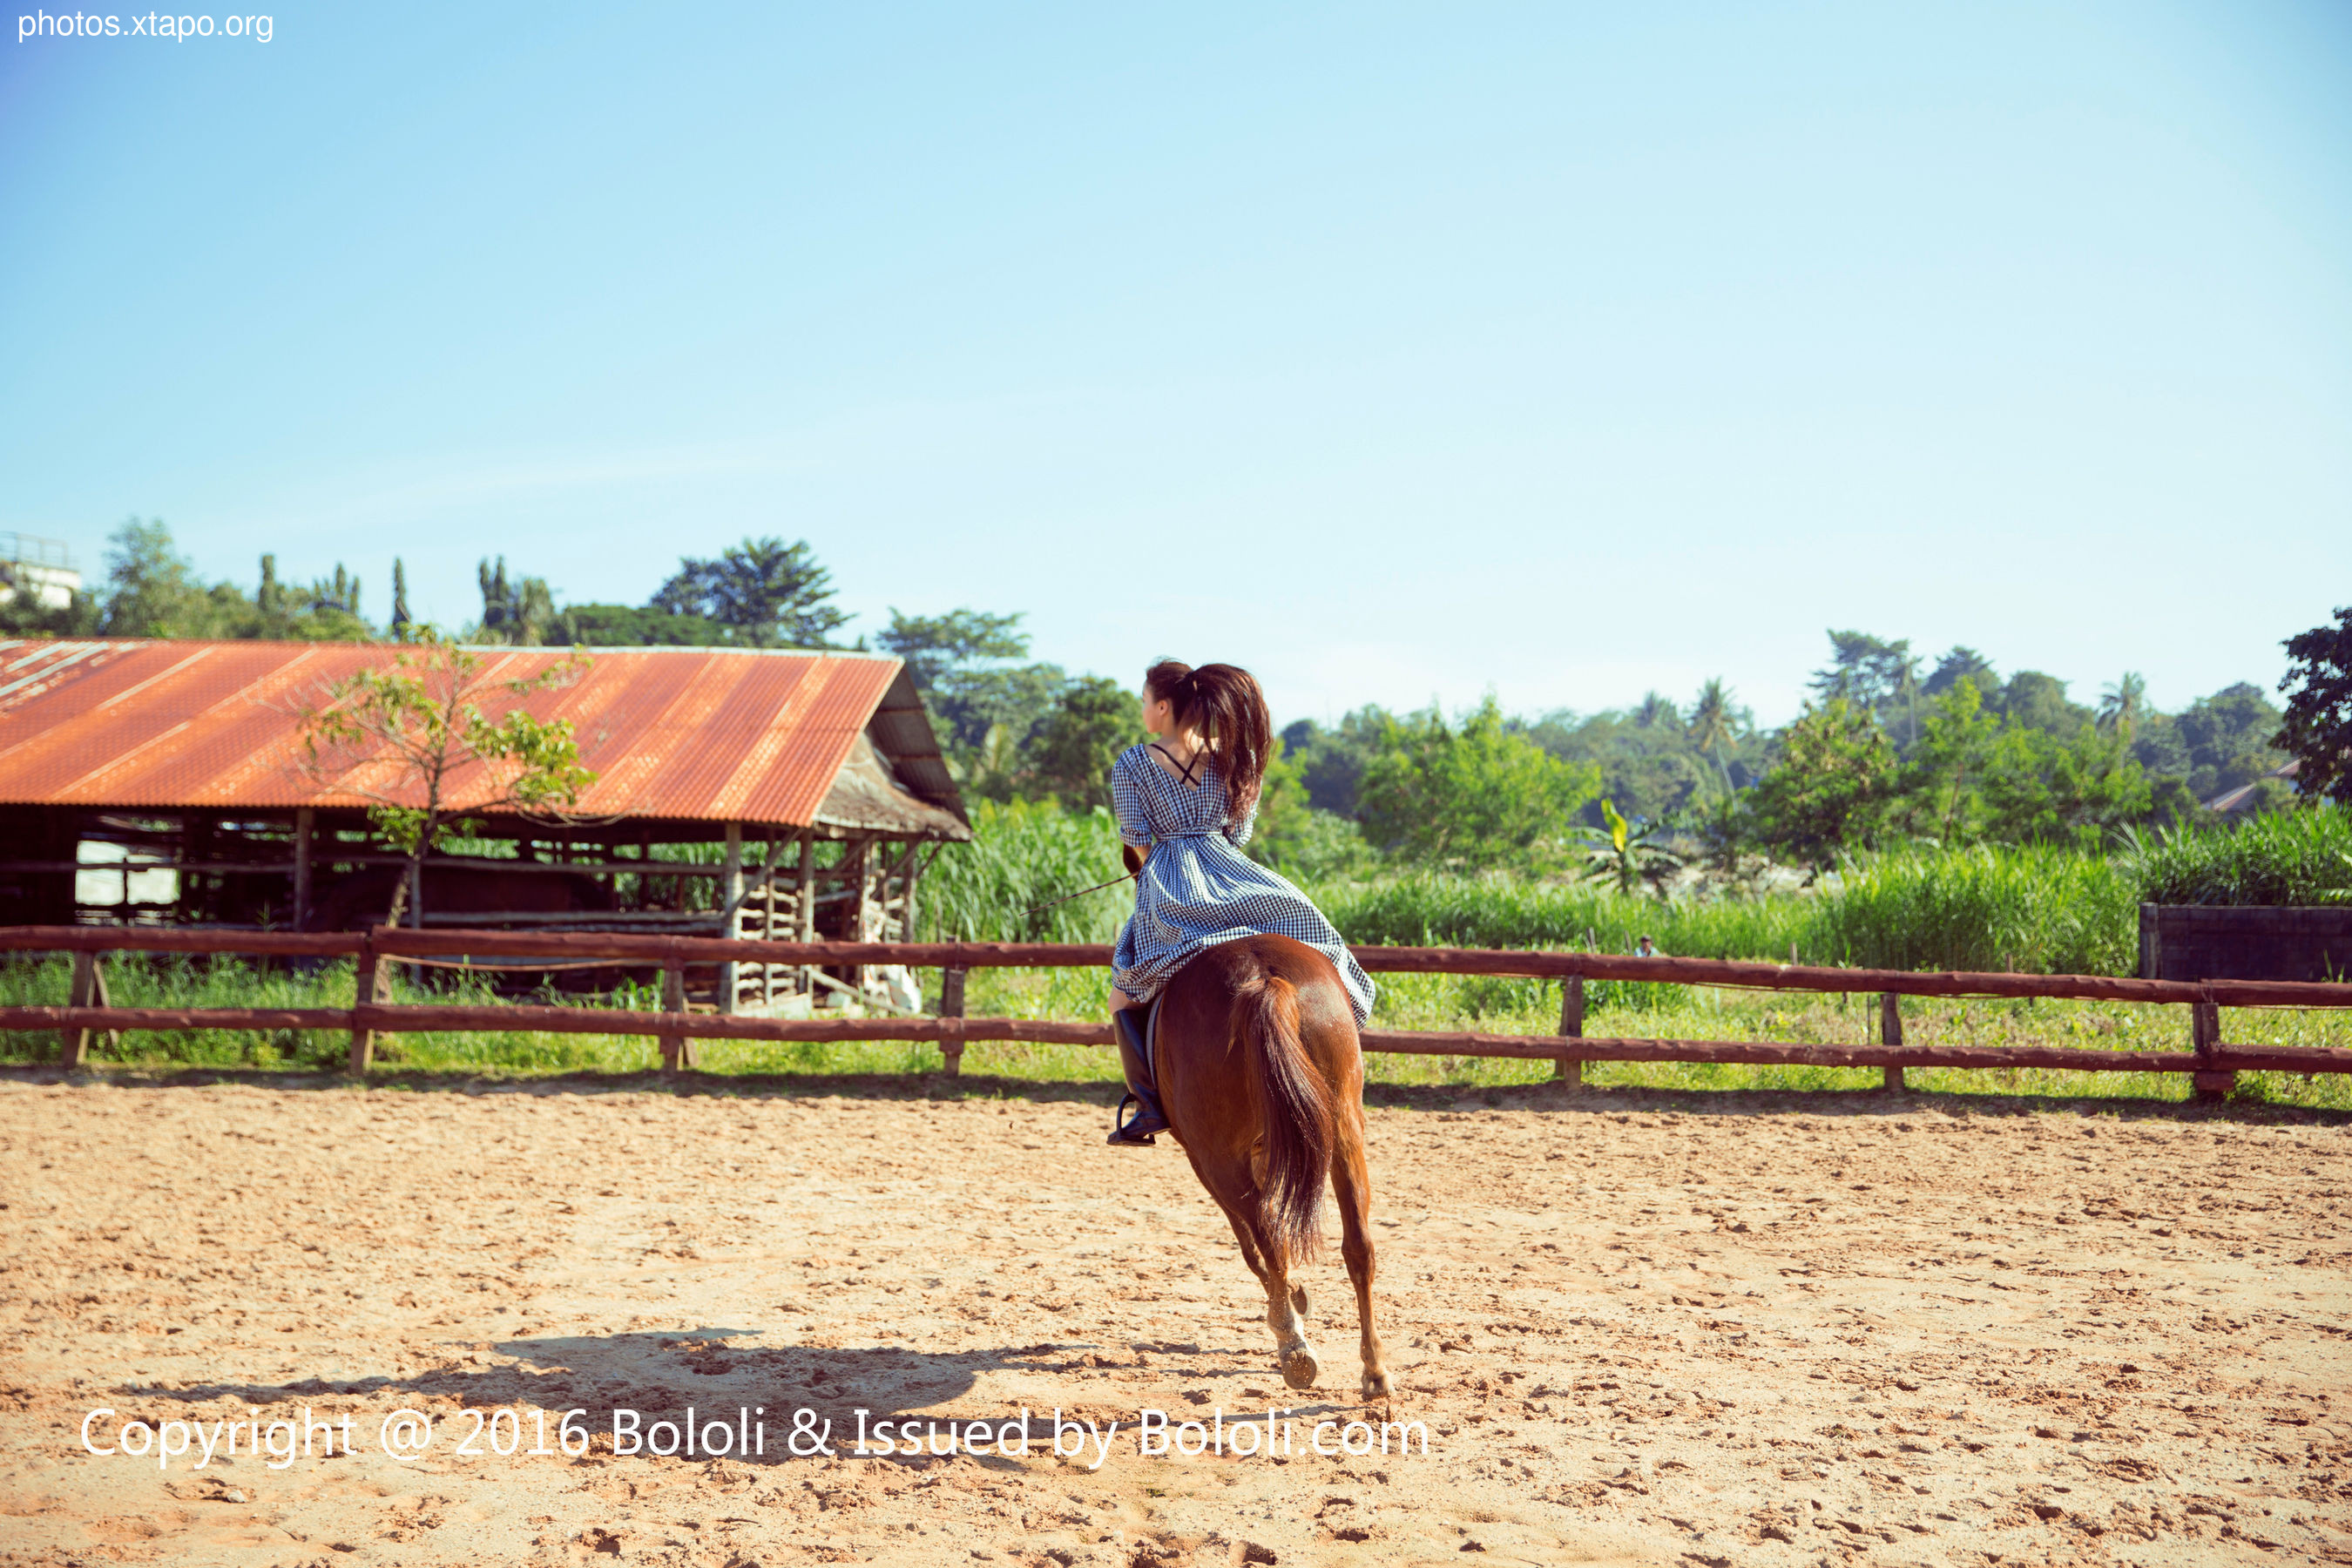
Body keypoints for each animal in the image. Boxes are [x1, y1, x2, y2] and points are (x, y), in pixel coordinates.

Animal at [1147, 940, 1382, 1401]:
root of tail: (1264, 981)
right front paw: (1294, 1292)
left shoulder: (1201, 1158)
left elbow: (1250, 1245)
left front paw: (1290, 1296)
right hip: (1344, 1129)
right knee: (1357, 1247)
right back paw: (1374, 1370)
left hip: (1218, 1159)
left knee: (1270, 1240)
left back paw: (1293, 1345)